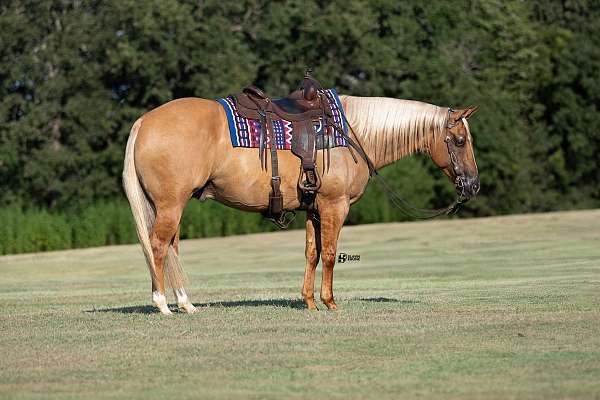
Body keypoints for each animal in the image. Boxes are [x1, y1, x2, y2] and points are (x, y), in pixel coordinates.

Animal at [122, 95, 478, 314]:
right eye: (460, 141)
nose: (472, 185)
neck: (351, 135)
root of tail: (144, 122)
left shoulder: (313, 209)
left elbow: (312, 253)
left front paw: (308, 301)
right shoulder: (335, 206)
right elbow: (331, 254)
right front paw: (330, 302)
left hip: (170, 207)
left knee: (169, 248)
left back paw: (186, 303)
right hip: (170, 205)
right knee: (157, 246)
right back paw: (163, 304)